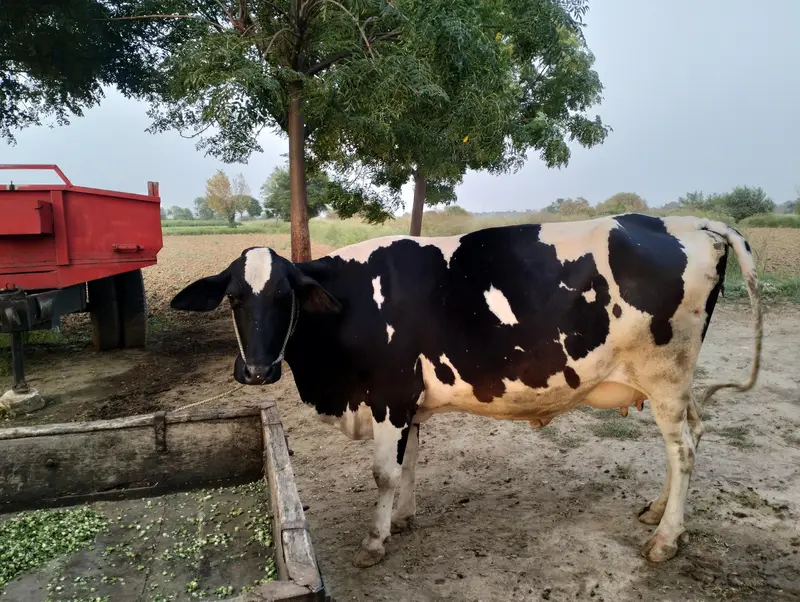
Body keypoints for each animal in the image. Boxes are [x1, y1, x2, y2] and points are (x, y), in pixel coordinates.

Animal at [171, 213, 762, 568]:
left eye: (284, 296)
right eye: (233, 298)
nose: (256, 371)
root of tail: (686, 220)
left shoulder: (388, 395)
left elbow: (383, 473)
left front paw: (375, 541)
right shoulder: (408, 403)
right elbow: (409, 463)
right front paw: (403, 519)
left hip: (665, 376)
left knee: (682, 450)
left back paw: (665, 538)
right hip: (674, 385)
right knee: (692, 438)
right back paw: (657, 513)